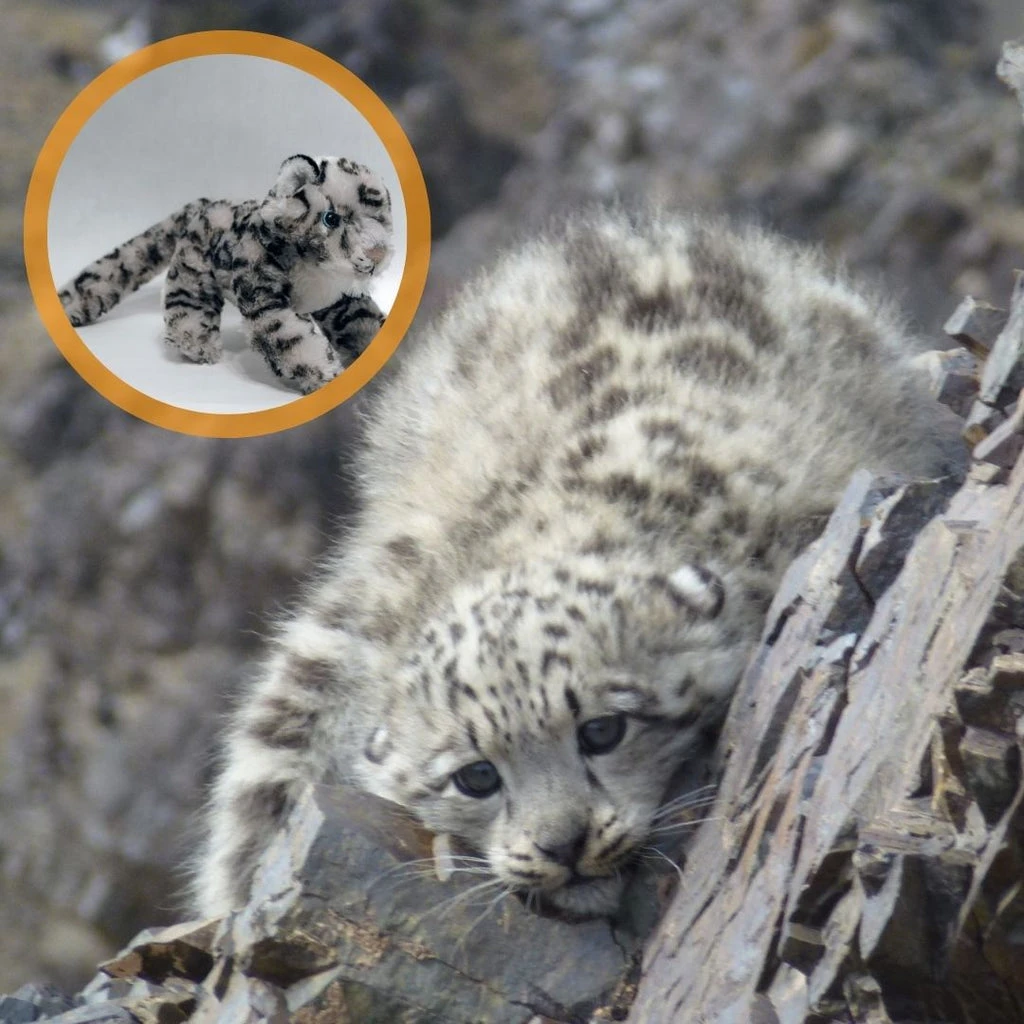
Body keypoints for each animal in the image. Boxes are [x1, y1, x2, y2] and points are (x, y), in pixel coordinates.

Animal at [58, 154, 394, 394]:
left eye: (382, 217)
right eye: (331, 218)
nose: (377, 254)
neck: (318, 273)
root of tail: (204, 204)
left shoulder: (340, 299)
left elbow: (359, 317)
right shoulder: (265, 300)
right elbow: (291, 337)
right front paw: (325, 374)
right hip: (193, 272)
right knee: (186, 303)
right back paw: (197, 344)